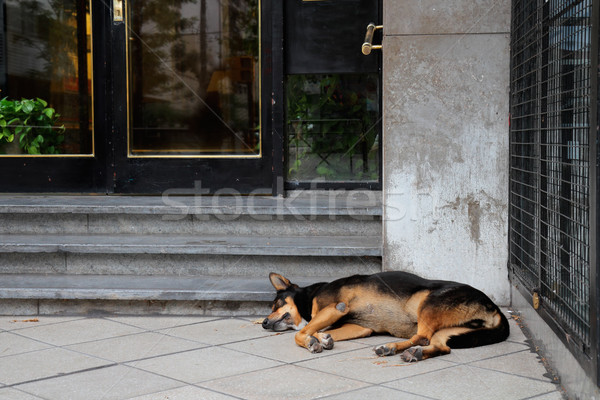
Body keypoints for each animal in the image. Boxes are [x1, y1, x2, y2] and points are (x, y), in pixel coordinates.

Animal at [260, 270, 508, 360]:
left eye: (275, 304)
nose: (263, 323)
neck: (310, 296)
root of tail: (493, 306)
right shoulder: (359, 327)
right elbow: (313, 330)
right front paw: (321, 338)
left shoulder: (335, 308)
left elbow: (300, 332)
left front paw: (313, 341)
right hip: (449, 331)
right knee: (440, 346)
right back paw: (413, 353)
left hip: (429, 303)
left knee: (421, 336)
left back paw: (390, 347)